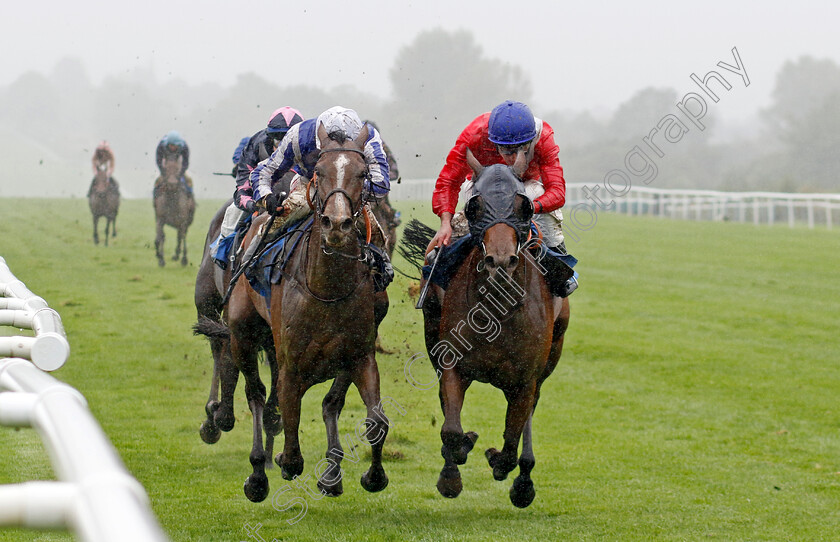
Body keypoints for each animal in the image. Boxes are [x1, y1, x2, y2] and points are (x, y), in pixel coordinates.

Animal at [225, 123, 392, 502]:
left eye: (362, 173)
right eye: (320, 171)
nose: (337, 223)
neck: (327, 289)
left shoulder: (360, 356)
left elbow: (375, 421)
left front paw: (372, 476)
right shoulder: (291, 365)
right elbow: (289, 424)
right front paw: (283, 462)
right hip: (242, 334)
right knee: (256, 396)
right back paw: (258, 473)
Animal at [416, 152, 568, 510]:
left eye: (524, 206)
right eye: (474, 206)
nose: (500, 261)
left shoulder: (526, 379)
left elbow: (512, 442)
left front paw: (501, 463)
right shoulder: (453, 364)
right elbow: (451, 429)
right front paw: (454, 468)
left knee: (528, 418)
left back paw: (524, 481)